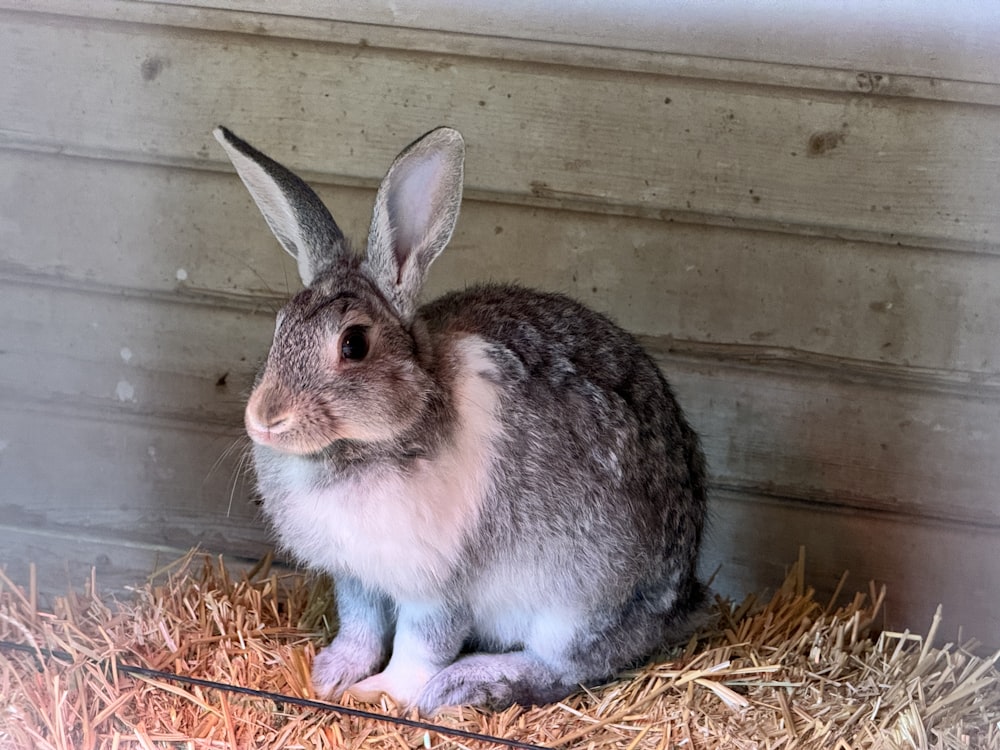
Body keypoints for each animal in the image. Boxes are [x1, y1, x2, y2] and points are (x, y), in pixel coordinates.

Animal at [214, 125, 708, 716]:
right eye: (279, 326)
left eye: (353, 344)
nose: (266, 418)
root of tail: (680, 602)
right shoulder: (358, 577)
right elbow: (361, 628)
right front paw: (331, 676)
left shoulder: (440, 585)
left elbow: (421, 644)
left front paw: (380, 694)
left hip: (578, 602)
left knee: (567, 667)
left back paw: (469, 683)